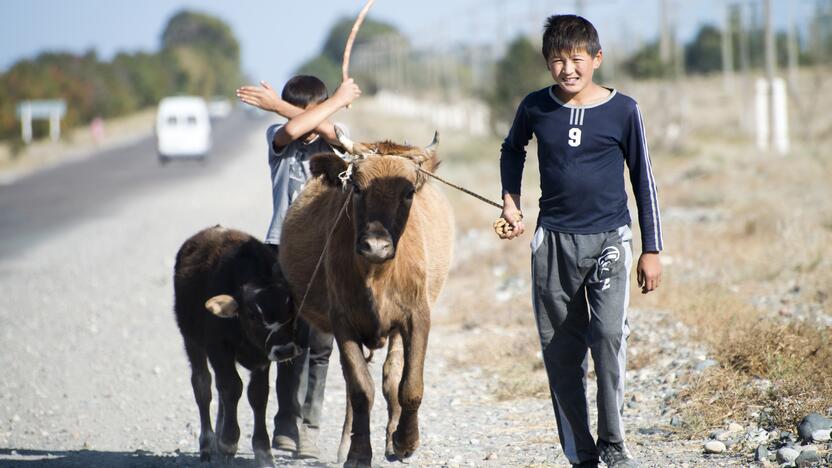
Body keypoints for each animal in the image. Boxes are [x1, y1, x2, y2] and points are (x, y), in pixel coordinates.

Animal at [278, 129, 456, 468]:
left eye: (408, 192)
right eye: (357, 188)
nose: (376, 246)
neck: (377, 273)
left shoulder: (417, 317)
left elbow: (408, 385)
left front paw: (405, 441)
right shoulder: (342, 322)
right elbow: (361, 388)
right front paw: (358, 453)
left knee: (391, 376)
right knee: (356, 386)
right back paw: (347, 443)